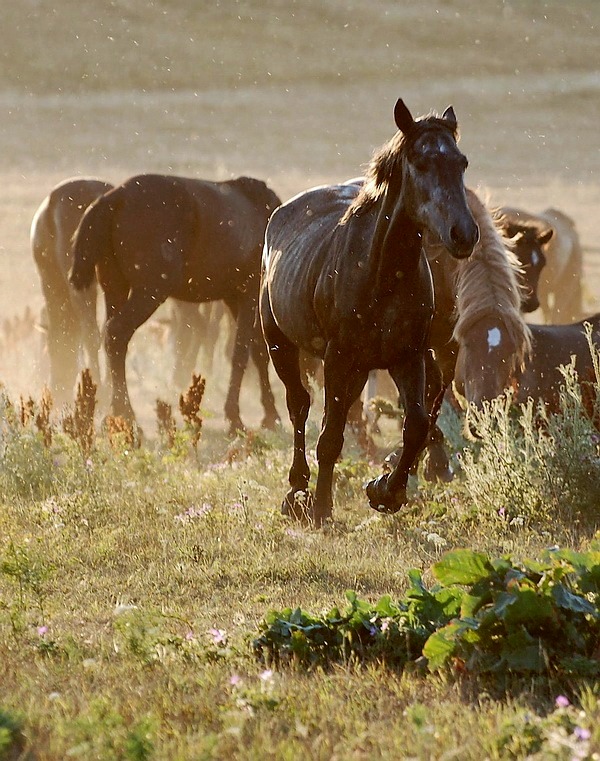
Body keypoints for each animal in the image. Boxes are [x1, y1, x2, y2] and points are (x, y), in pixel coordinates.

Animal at [68, 174, 282, 434]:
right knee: (117, 333)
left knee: (111, 340)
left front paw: (270, 414)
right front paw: (235, 417)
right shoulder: (248, 294)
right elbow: (242, 352)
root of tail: (117, 197)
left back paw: (116, 414)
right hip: (150, 292)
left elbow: (258, 350)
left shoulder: (234, 298)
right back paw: (127, 415)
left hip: (115, 288)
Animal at [262, 98, 478, 524]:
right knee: (299, 406)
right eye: (420, 163)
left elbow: (416, 424)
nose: (463, 233)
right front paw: (322, 510)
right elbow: (330, 436)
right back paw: (297, 489)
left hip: (360, 368)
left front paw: (385, 492)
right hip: (279, 343)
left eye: (461, 162)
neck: (381, 274)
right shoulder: (338, 357)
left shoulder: (407, 357)